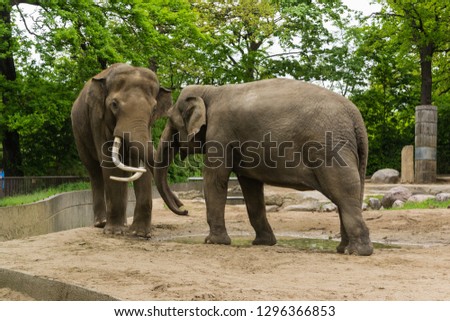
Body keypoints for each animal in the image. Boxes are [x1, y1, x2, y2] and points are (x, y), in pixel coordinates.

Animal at [71, 63, 171, 238]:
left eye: (154, 109)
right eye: (114, 105)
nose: (184, 210)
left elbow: (141, 164)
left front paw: (139, 233)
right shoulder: (97, 119)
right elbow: (109, 164)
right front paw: (115, 232)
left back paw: (123, 224)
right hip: (79, 134)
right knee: (94, 171)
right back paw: (101, 223)